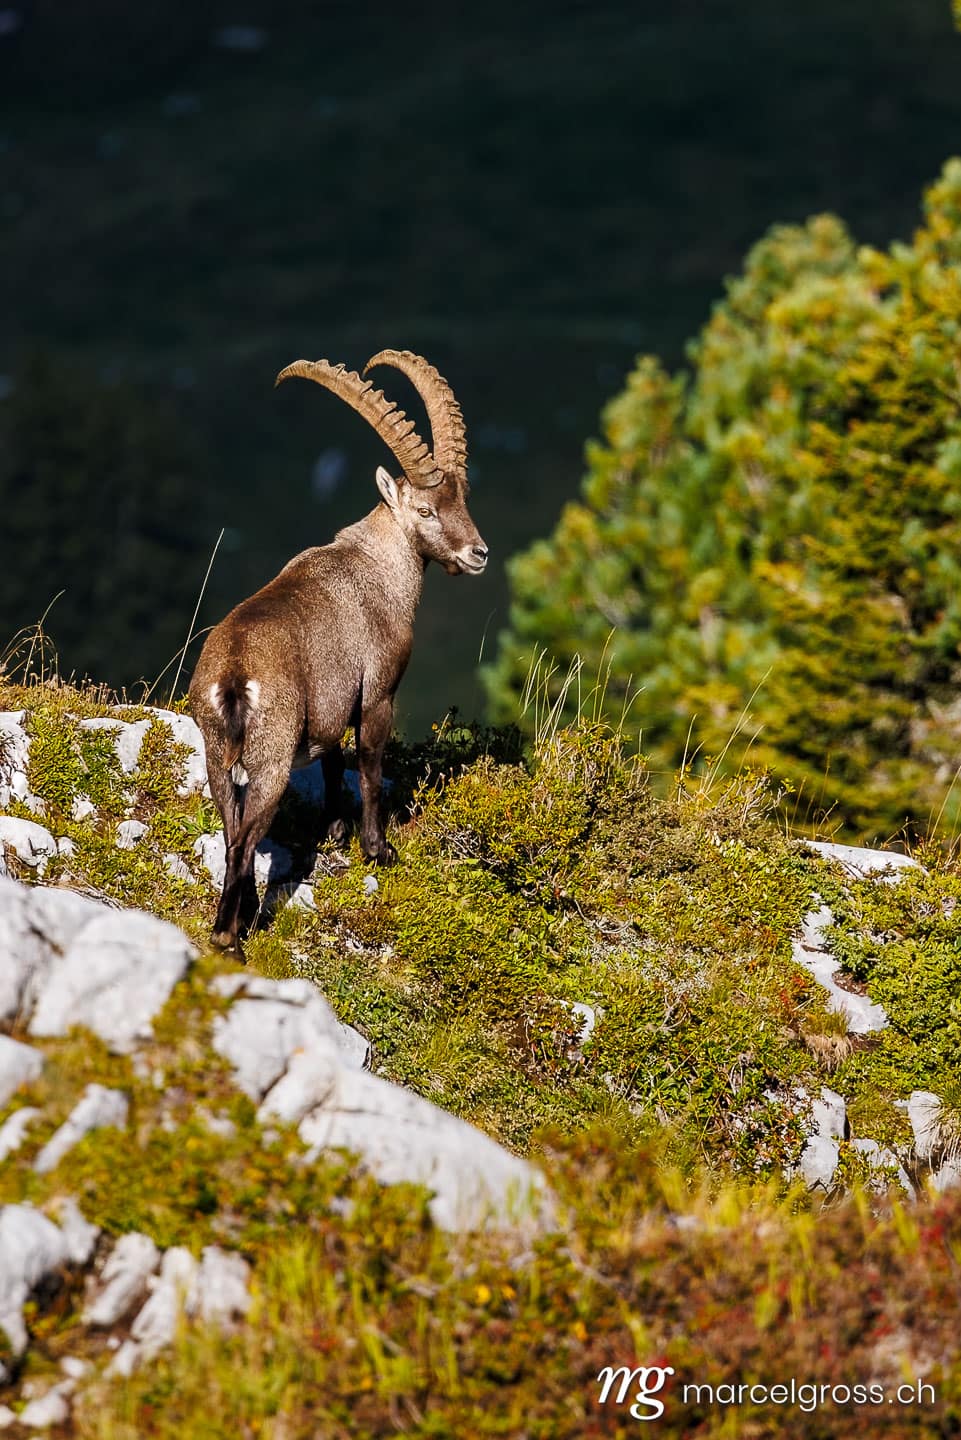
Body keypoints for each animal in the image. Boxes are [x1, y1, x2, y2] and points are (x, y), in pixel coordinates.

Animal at [188, 350, 488, 958]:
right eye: (425, 510)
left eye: (461, 500)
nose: (479, 553)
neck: (378, 567)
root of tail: (234, 674)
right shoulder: (377, 694)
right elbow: (369, 767)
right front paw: (378, 848)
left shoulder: (331, 704)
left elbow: (331, 765)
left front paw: (334, 831)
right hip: (271, 759)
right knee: (242, 843)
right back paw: (230, 937)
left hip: (217, 756)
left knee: (233, 833)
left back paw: (241, 917)